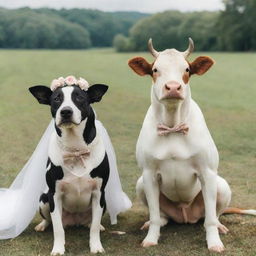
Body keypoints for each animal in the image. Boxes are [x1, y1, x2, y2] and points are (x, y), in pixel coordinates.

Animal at [29, 77, 109, 255]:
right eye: (56, 99)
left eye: (79, 98)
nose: (66, 111)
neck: (75, 149)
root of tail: (75, 221)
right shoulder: (54, 194)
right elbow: (58, 228)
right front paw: (58, 249)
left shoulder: (98, 193)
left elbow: (93, 226)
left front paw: (96, 246)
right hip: (44, 199)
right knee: (50, 220)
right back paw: (42, 225)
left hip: (104, 201)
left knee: (92, 222)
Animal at [128, 38, 232, 252]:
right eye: (155, 69)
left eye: (186, 69)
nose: (173, 87)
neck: (172, 126)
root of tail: (185, 215)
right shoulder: (149, 174)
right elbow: (154, 213)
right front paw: (151, 238)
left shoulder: (207, 172)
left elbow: (210, 219)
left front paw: (214, 242)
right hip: (141, 184)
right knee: (160, 215)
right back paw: (154, 223)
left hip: (221, 186)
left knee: (212, 215)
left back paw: (219, 226)